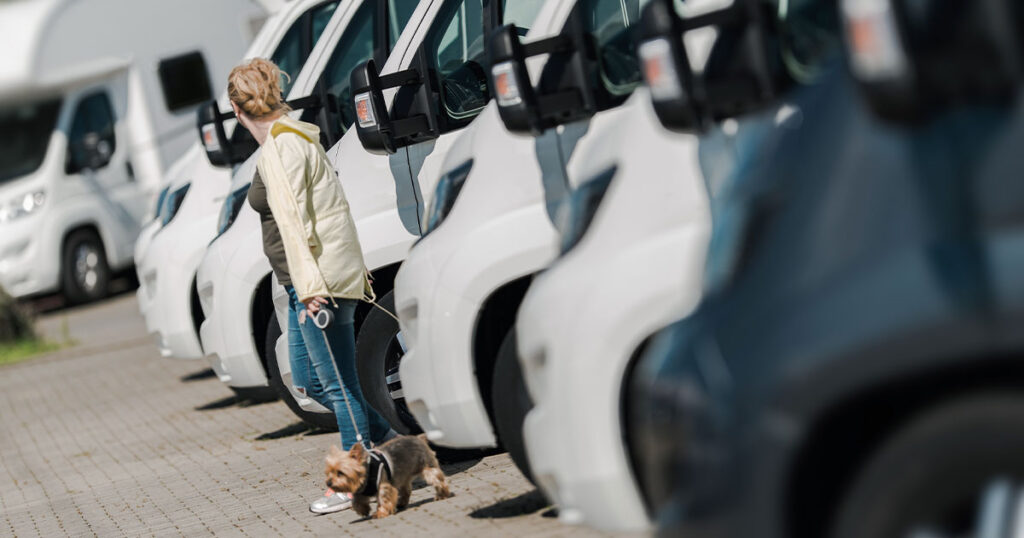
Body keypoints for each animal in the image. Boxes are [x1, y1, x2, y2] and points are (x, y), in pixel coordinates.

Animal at [323, 432, 452, 516]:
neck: (366, 473)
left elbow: (383, 498)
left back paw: (442, 494)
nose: (328, 483)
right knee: (406, 490)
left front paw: (381, 513)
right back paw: (401, 503)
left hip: (427, 466)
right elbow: (357, 500)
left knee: (438, 480)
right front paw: (363, 510)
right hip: (403, 476)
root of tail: (419, 438)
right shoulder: (361, 490)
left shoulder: (383, 485)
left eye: (340, 473)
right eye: (329, 473)